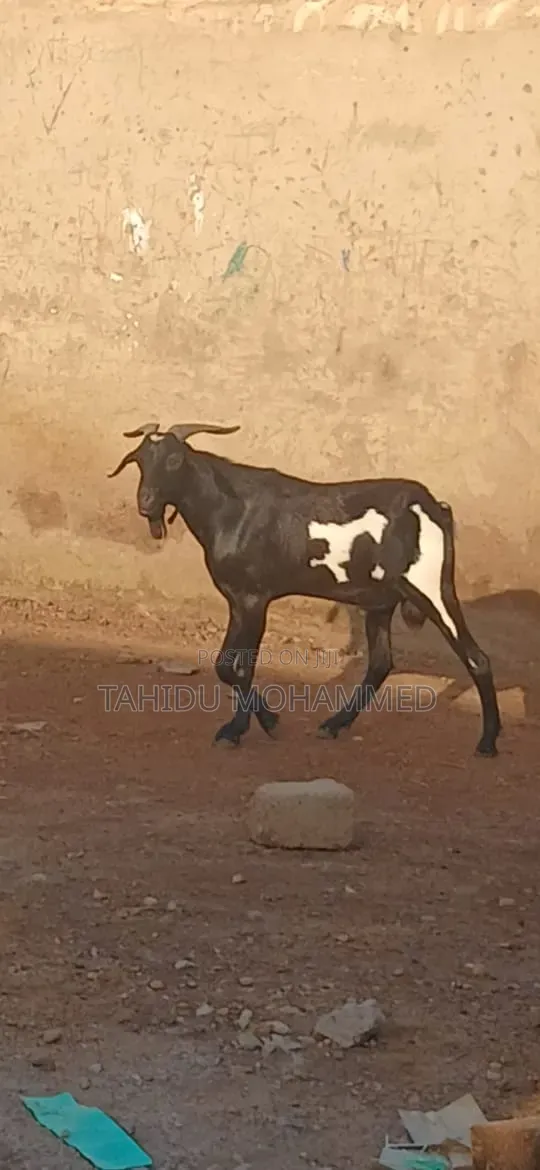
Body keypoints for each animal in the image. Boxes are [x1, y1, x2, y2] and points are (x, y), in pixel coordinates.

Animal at [108, 422, 501, 757]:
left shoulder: (254, 599)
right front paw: (249, 725)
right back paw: (334, 724)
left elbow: (235, 668)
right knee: (380, 663)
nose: (146, 503)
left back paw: (488, 741)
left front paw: (253, 725)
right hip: (379, 602)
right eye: (140, 461)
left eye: (174, 460)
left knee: (476, 658)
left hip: (430, 587)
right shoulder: (239, 600)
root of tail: (435, 506)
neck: (231, 510)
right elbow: (232, 666)